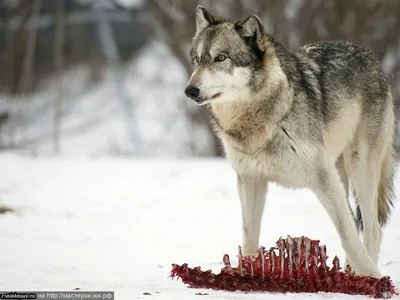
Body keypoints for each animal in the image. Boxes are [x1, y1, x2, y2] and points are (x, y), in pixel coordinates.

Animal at [185, 5, 396, 278]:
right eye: (198, 60)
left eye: (221, 58)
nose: (190, 91)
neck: (259, 118)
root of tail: (370, 57)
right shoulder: (250, 180)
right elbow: (249, 237)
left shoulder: (322, 177)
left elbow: (347, 235)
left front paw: (375, 278)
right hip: (341, 174)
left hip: (359, 167)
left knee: (371, 229)